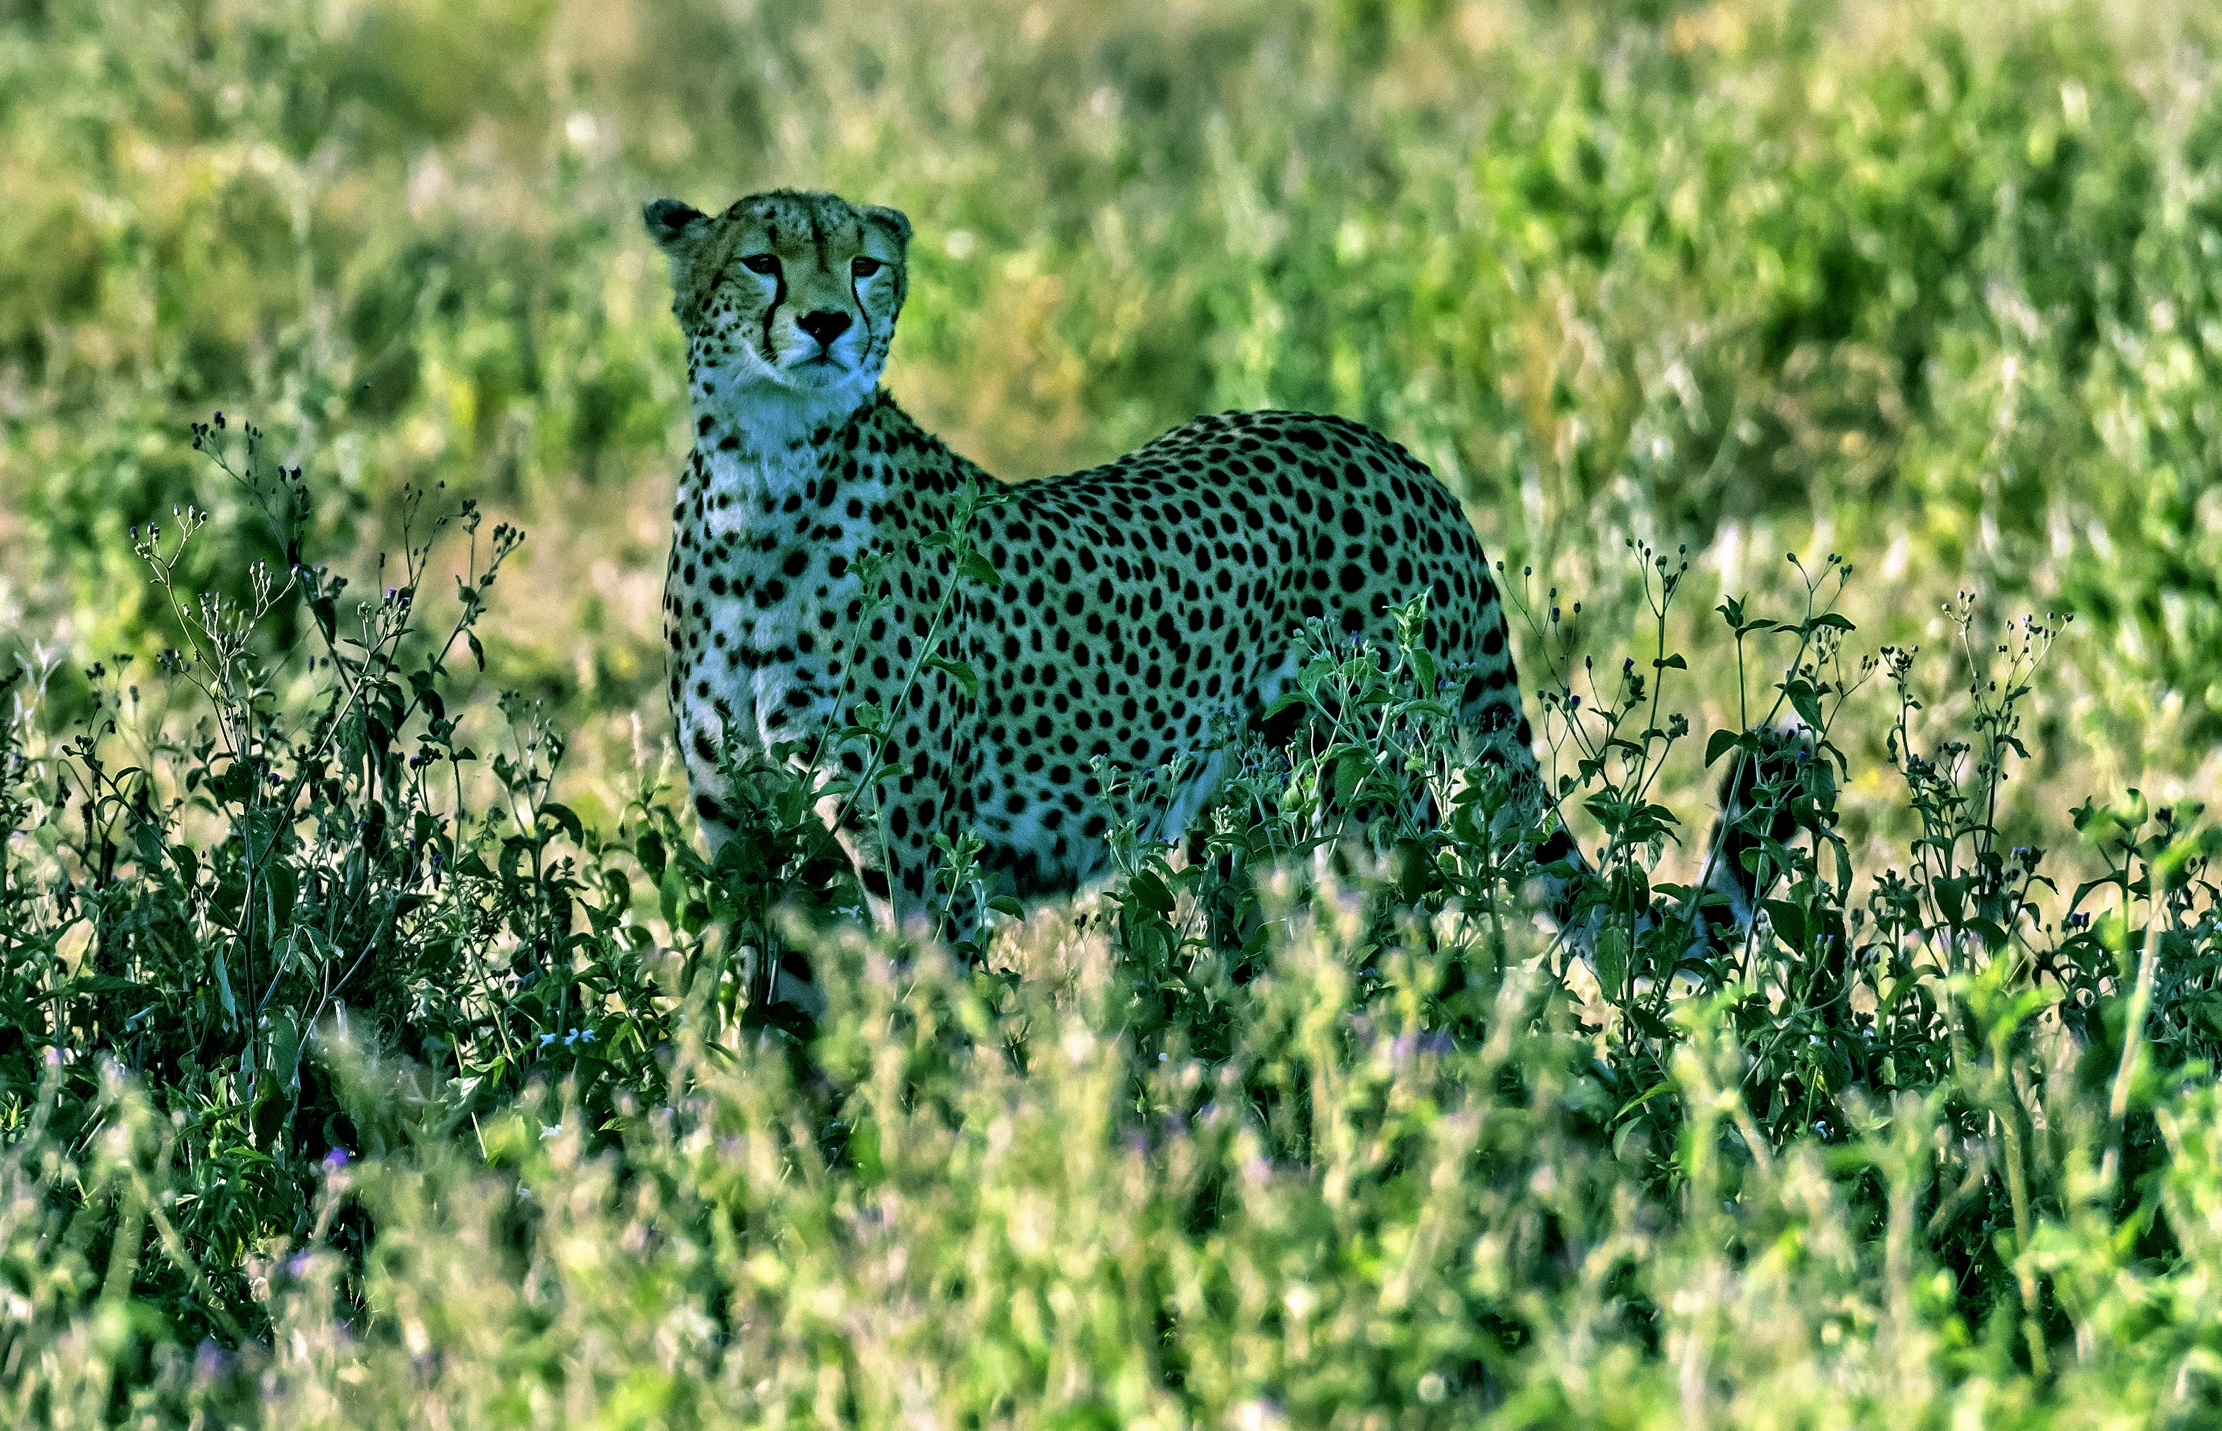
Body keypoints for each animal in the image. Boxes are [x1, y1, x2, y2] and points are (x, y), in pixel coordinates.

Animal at [643, 188, 1775, 994]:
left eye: (864, 265)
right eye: (761, 261)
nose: (829, 321)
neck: (764, 482)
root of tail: (1391, 451)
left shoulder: (917, 863)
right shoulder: (754, 842)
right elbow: (778, 1044)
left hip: (1364, 807)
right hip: (1250, 821)